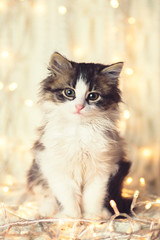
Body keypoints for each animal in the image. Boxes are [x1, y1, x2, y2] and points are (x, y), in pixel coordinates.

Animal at [26, 52, 132, 219]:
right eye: (69, 92)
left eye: (93, 96)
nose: (79, 106)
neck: (79, 130)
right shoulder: (55, 165)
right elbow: (67, 196)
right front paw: (71, 217)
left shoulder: (102, 167)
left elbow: (93, 195)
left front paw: (92, 216)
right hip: (36, 172)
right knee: (45, 194)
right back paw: (48, 209)